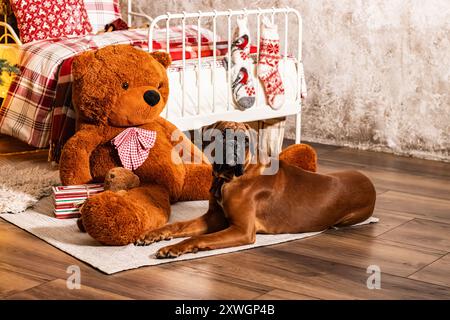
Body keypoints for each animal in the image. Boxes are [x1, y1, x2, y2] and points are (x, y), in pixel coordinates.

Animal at [134, 120, 376, 258]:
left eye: (245, 140)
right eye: (223, 135)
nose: (233, 145)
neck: (229, 179)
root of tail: (368, 182)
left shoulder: (241, 230)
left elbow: (198, 239)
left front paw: (175, 248)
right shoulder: (213, 218)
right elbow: (178, 225)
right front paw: (154, 235)